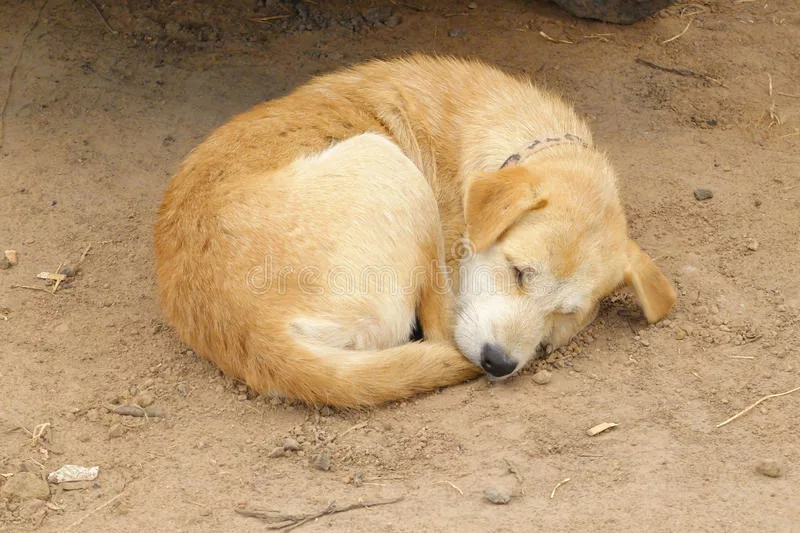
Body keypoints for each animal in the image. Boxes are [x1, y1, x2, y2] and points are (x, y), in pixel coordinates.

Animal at [152, 54, 676, 406]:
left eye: (566, 314)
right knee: (441, 335)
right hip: (388, 163)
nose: (498, 363)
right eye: (517, 272)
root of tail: (252, 332)